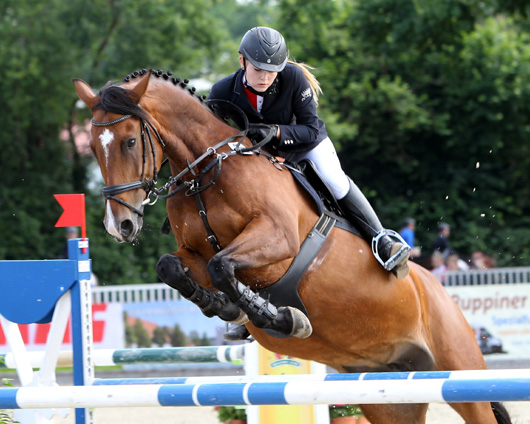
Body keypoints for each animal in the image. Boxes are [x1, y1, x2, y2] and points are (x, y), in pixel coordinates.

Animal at [73, 70, 508, 424]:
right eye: (91, 148)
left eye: (131, 141)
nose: (120, 225)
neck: (207, 172)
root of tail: (436, 286)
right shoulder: (193, 254)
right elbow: (173, 267)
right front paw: (226, 309)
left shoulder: (276, 238)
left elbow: (222, 266)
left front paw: (281, 318)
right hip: (389, 393)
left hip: (461, 373)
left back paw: (390, 251)